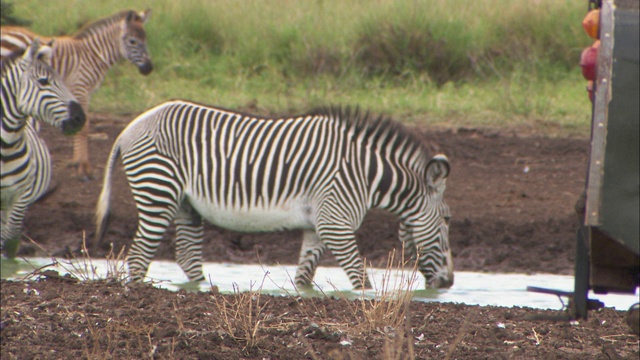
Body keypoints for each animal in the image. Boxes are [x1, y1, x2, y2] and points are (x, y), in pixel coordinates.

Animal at [0, 9, 153, 180]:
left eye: (145, 39)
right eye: (133, 41)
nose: (149, 68)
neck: (93, 55)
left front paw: (75, 162)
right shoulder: (81, 89)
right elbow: (85, 127)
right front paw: (83, 168)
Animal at [96, 99, 456, 290]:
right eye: (446, 219)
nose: (450, 283)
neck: (364, 173)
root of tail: (129, 128)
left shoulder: (318, 226)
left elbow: (305, 276)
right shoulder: (336, 223)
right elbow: (360, 277)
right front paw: (366, 300)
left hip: (186, 204)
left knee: (186, 255)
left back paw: (205, 290)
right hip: (158, 192)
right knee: (139, 256)